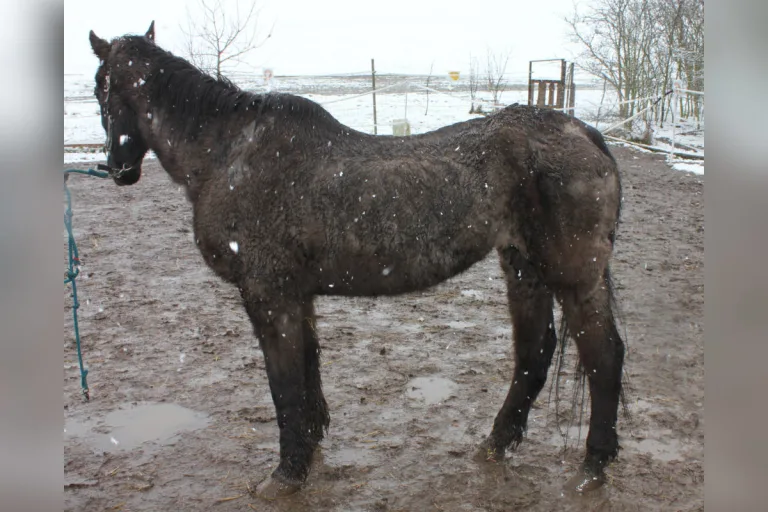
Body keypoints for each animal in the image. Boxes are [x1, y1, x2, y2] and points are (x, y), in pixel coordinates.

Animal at [88, 22, 626, 497]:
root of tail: (581, 131)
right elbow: (307, 369)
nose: (118, 169)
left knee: (603, 355)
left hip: (573, 275)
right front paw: (309, 448)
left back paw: (593, 467)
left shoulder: (268, 295)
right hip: (523, 268)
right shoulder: (297, 296)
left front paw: (286, 474)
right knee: (535, 352)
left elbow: (284, 383)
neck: (230, 153)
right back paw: (495, 444)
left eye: (101, 90)